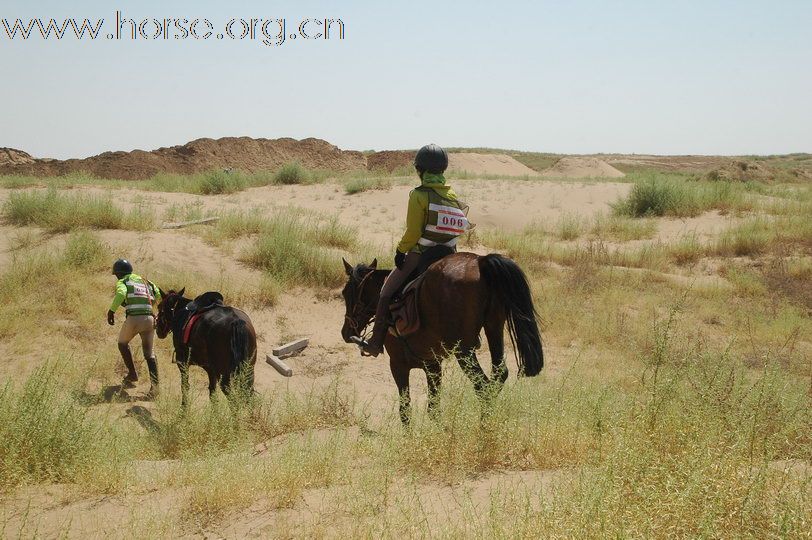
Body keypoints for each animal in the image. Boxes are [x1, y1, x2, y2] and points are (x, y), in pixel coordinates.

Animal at [340, 251, 544, 424]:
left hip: (464, 351)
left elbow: (405, 411)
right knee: (498, 374)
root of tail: (480, 262)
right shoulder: (433, 365)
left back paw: (483, 432)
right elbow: (434, 410)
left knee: (483, 386)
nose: (345, 332)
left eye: (345, 293)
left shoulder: (398, 365)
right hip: (494, 328)